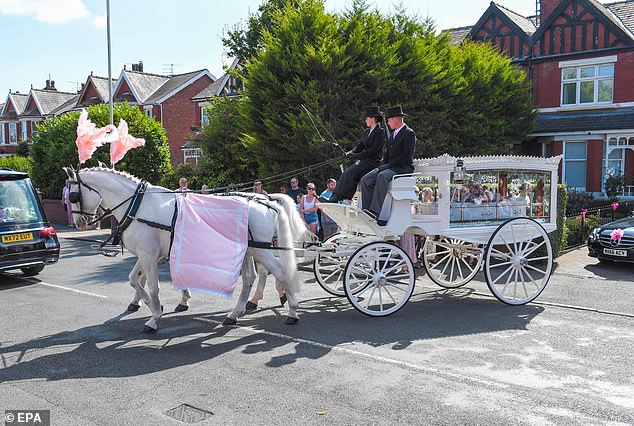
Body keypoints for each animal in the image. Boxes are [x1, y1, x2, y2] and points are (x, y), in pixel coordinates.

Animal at [66, 168, 302, 332]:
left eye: (73, 196)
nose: (79, 222)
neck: (138, 205)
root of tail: (264, 201)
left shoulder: (149, 255)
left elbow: (152, 287)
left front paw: (154, 316)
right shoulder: (147, 254)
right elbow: (134, 279)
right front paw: (149, 304)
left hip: (260, 250)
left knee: (278, 272)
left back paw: (292, 310)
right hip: (250, 250)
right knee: (252, 277)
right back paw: (236, 313)